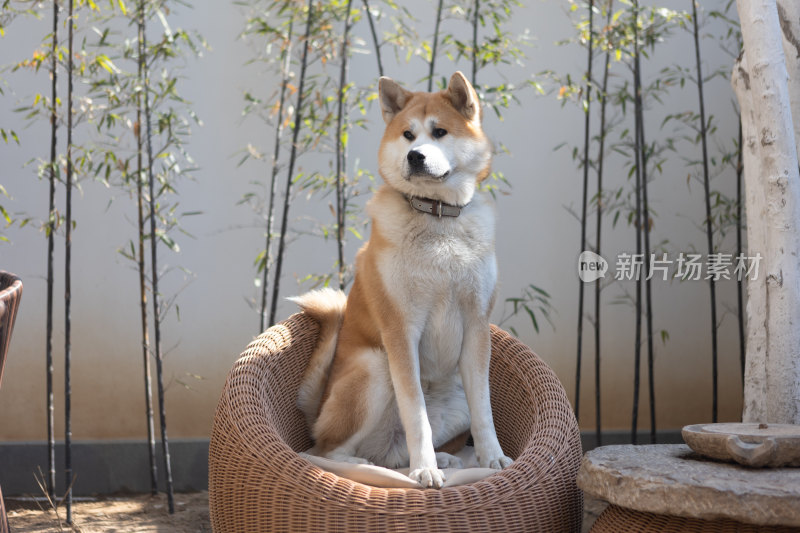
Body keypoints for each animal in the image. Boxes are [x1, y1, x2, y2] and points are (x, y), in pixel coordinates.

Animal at [292, 72, 512, 488]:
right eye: (408, 135)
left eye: (439, 132)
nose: (415, 156)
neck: (437, 217)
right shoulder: (400, 330)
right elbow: (416, 414)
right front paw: (425, 468)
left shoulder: (477, 324)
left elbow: (485, 410)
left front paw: (492, 458)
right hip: (375, 367)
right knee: (326, 451)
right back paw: (368, 465)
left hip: (452, 393)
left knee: (393, 456)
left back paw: (445, 458)